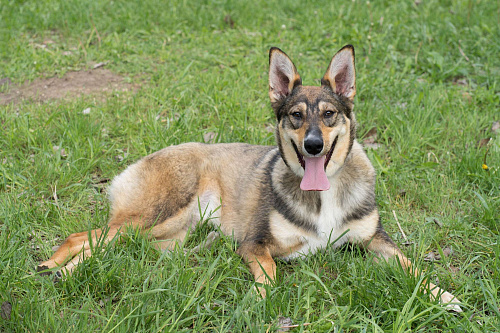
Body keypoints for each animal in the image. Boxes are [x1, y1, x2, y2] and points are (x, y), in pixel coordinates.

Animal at [38, 45, 460, 310]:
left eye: (329, 114)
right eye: (295, 115)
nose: (313, 146)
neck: (324, 196)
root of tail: (152, 155)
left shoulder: (376, 241)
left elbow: (414, 267)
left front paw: (443, 296)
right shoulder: (255, 245)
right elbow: (271, 274)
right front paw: (261, 299)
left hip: (172, 234)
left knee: (115, 245)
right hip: (159, 214)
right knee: (87, 238)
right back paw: (57, 269)